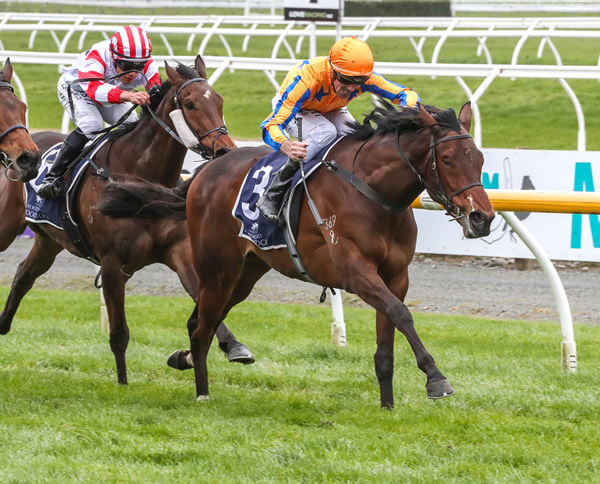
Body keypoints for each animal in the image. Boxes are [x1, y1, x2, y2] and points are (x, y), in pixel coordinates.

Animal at [0, 54, 253, 386]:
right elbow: (119, 333)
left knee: (23, 276)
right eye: (190, 104)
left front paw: (231, 347)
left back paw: (3, 325)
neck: (138, 177)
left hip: (48, 241)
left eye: (220, 100)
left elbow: (203, 299)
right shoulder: (112, 263)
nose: (224, 150)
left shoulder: (178, 252)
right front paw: (122, 385)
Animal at [98, 100, 494, 406]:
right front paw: (436, 378)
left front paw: (387, 406)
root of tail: (204, 172)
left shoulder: (396, 275)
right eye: (447, 157)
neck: (373, 193)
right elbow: (402, 314)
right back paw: (202, 392)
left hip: (244, 273)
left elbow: (389, 337)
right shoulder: (356, 272)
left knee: (200, 322)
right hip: (218, 267)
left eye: (479, 158)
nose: (482, 217)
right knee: (201, 328)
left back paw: (185, 360)